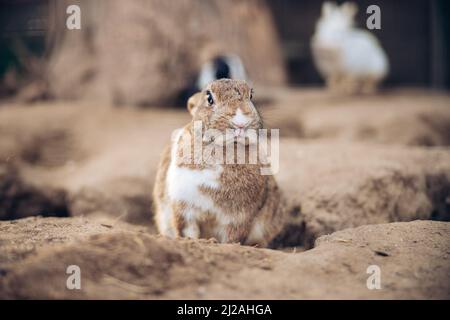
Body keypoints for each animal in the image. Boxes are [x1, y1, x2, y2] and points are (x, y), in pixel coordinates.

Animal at [152, 78, 284, 248]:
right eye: (209, 98)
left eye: (251, 96)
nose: (241, 123)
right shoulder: (184, 209)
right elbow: (187, 231)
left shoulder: (239, 218)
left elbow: (232, 238)